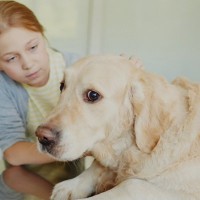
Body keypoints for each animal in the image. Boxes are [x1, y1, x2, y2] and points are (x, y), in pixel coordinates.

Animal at [35, 55, 200, 200]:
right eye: (62, 86)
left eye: (93, 95)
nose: (41, 136)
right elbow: (97, 165)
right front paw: (71, 186)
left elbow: (132, 185)